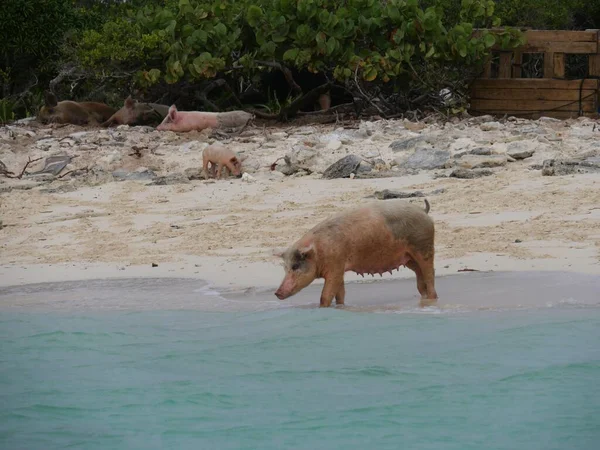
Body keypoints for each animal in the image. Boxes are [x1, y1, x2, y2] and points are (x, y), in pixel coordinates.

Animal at [274, 200, 438, 308]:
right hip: (409, 258)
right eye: (285, 268)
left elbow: (325, 295)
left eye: (295, 266)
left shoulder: (335, 265)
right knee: (420, 276)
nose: (277, 293)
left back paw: (432, 299)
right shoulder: (339, 269)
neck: (319, 251)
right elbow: (340, 293)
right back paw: (425, 299)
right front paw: (340, 307)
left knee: (430, 273)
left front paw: (323, 308)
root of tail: (423, 211)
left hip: (424, 246)